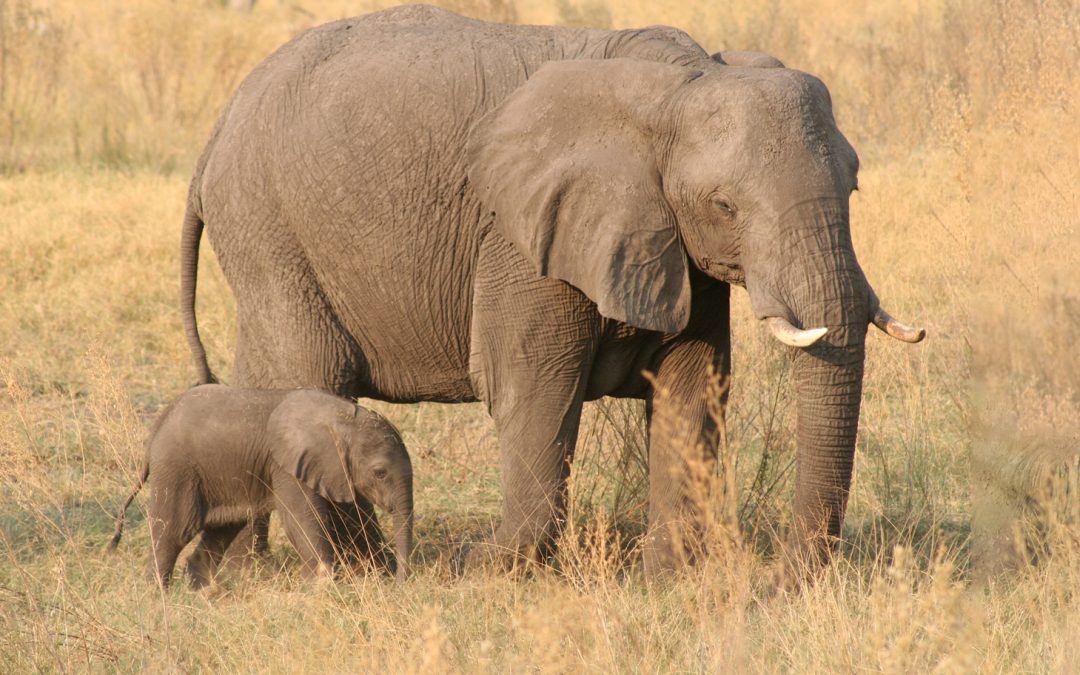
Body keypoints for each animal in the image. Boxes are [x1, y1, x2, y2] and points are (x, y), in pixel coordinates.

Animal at [109, 386, 414, 587]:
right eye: (380, 473)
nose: (399, 584)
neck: (340, 418)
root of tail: (156, 429)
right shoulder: (285, 465)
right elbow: (300, 519)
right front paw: (321, 585)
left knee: (223, 528)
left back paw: (204, 593)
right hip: (177, 470)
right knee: (174, 531)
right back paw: (159, 594)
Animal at [178, 5, 924, 575]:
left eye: (854, 187)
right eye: (725, 206)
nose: (780, 580)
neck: (677, 84)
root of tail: (216, 127)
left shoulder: (675, 245)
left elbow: (693, 388)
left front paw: (669, 578)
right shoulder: (521, 236)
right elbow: (533, 387)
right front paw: (485, 571)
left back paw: (239, 574)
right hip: (270, 227)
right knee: (313, 375)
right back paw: (348, 571)